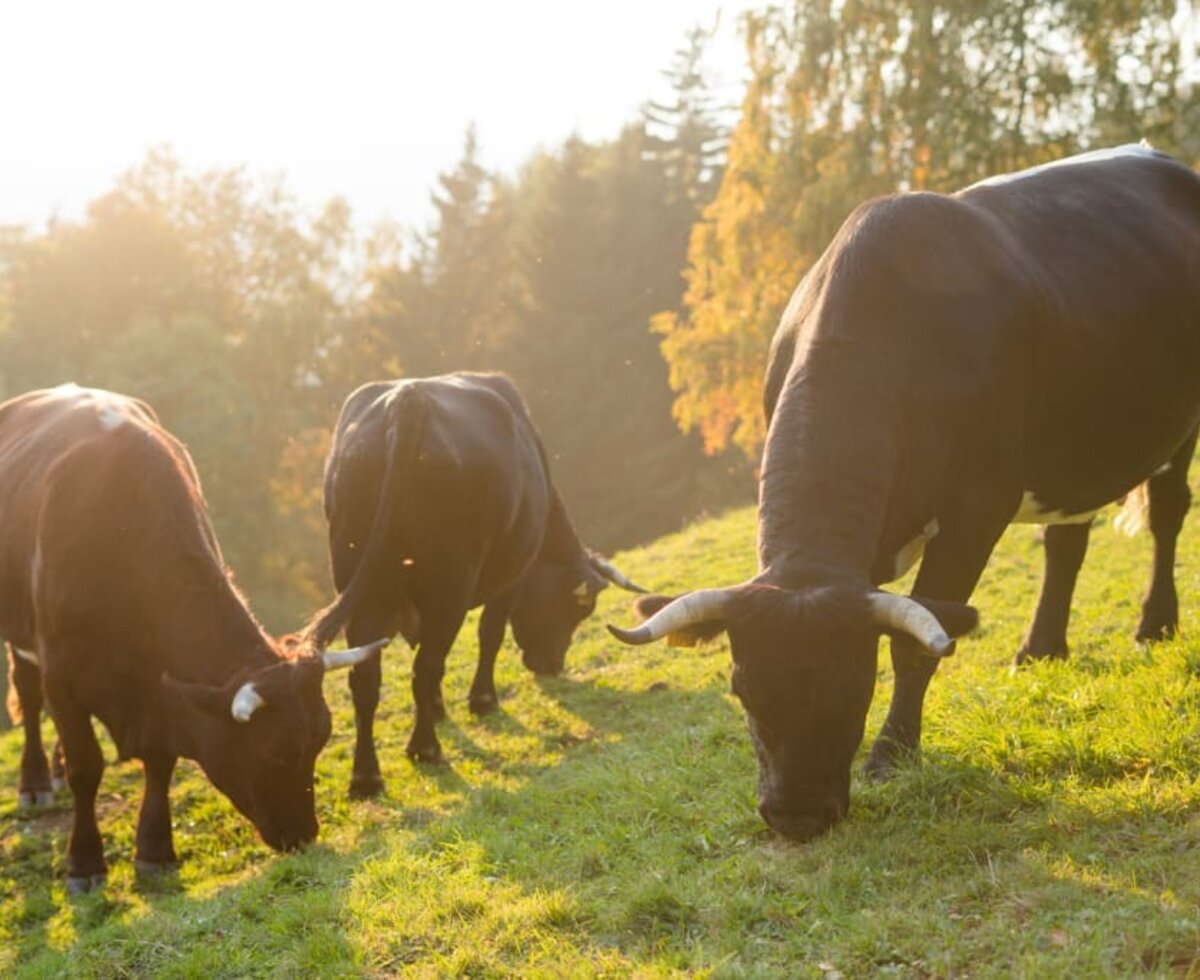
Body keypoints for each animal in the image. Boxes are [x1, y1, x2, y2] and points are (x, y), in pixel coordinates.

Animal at [0, 386, 384, 892]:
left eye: (321, 741)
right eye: (275, 752)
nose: (303, 835)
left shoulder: (160, 692)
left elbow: (159, 761)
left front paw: (155, 850)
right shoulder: (62, 674)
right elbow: (88, 766)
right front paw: (84, 863)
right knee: (27, 692)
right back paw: (37, 782)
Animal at [307, 371, 648, 791]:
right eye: (576, 608)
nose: (551, 665)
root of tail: (410, 399)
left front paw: (439, 710)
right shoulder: (511, 580)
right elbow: (490, 634)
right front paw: (482, 700)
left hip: (363, 592)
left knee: (367, 678)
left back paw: (366, 776)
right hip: (449, 587)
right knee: (426, 666)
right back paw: (426, 749)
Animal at [614, 145, 1200, 839]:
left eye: (852, 688)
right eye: (743, 690)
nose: (796, 816)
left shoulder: (979, 506)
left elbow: (914, 644)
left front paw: (892, 755)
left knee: (1167, 512)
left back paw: (1153, 624)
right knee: (1066, 538)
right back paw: (1040, 649)